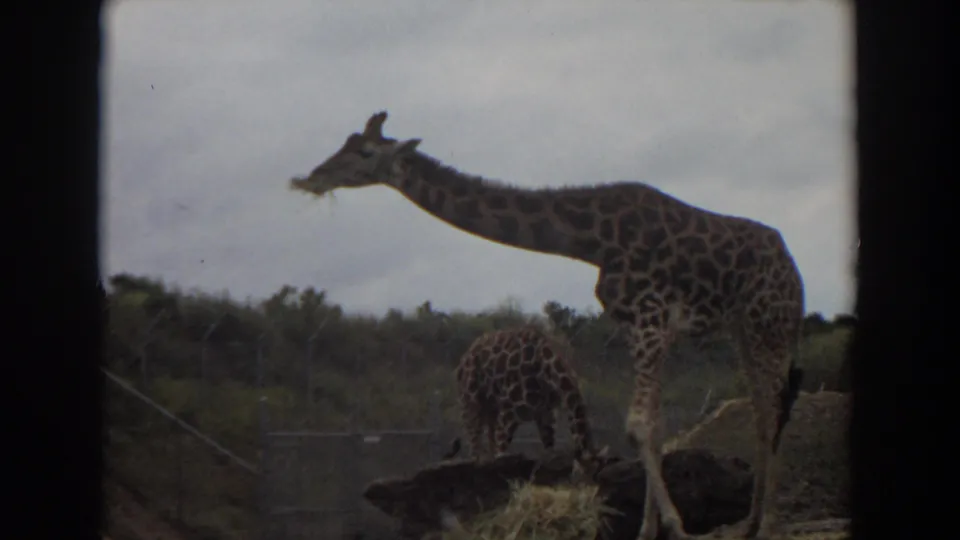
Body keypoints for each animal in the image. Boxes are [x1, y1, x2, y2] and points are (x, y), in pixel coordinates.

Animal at [440, 325, 609, 472]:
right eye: (583, 473)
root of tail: (463, 359)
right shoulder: (509, 413)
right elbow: (502, 451)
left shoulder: (546, 414)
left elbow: (549, 452)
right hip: (471, 402)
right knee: (474, 442)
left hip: (492, 408)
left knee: (488, 439)